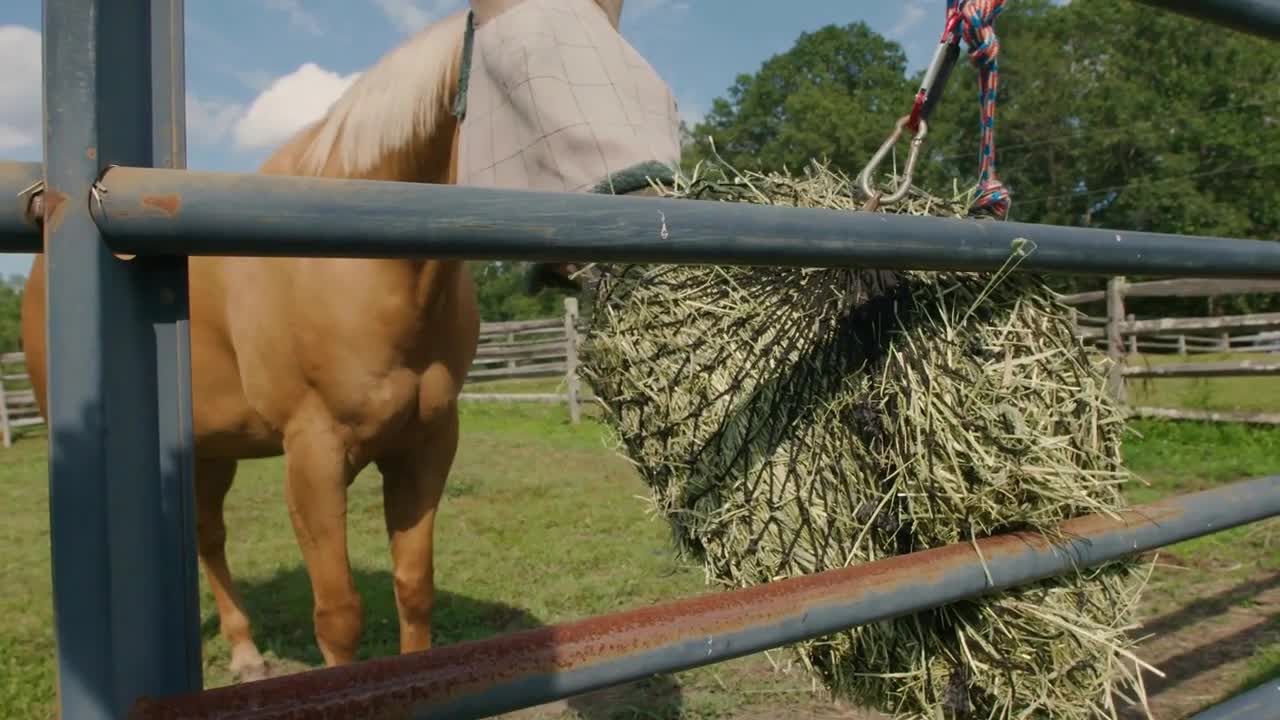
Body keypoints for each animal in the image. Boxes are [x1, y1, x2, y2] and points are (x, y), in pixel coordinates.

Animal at [20, 0, 680, 681]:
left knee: (208, 535)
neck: (357, 263)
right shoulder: (314, 456)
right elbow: (338, 617)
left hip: (212, 448)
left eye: (663, 100)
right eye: (526, 84)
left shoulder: (426, 444)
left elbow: (413, 589)